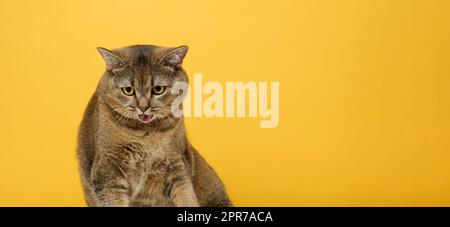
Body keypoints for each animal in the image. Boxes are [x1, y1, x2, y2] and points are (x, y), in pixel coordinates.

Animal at [76, 44, 232, 206]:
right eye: (128, 90)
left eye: (158, 89)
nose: (143, 107)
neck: (147, 135)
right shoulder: (108, 170)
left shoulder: (177, 163)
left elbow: (186, 196)